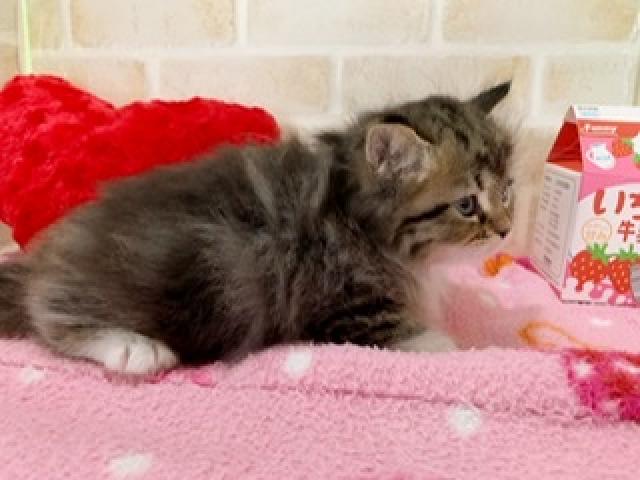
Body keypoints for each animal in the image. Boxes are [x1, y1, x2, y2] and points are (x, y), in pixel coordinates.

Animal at [0, 82, 514, 375]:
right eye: (468, 205)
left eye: (508, 189)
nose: (508, 230)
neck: (355, 217)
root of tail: (46, 256)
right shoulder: (344, 305)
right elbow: (422, 339)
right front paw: (467, 347)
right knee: (49, 314)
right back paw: (133, 348)